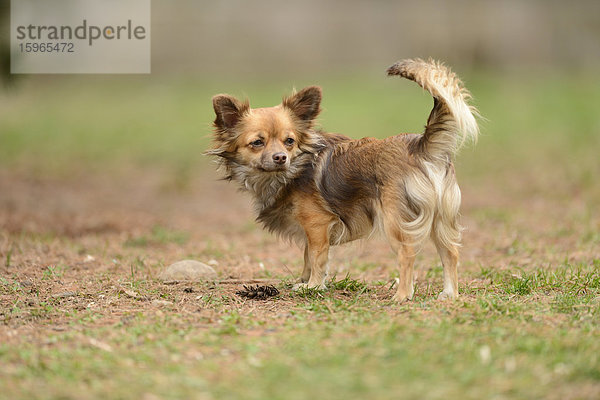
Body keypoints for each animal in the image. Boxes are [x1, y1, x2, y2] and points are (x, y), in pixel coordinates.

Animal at [209, 59, 480, 302]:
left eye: (289, 141)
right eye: (257, 142)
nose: (280, 157)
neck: (292, 170)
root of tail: (420, 145)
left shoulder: (317, 225)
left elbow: (317, 257)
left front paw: (313, 286)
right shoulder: (310, 230)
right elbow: (308, 256)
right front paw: (304, 280)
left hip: (396, 221)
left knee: (407, 253)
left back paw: (402, 295)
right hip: (439, 218)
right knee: (450, 253)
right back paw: (450, 294)